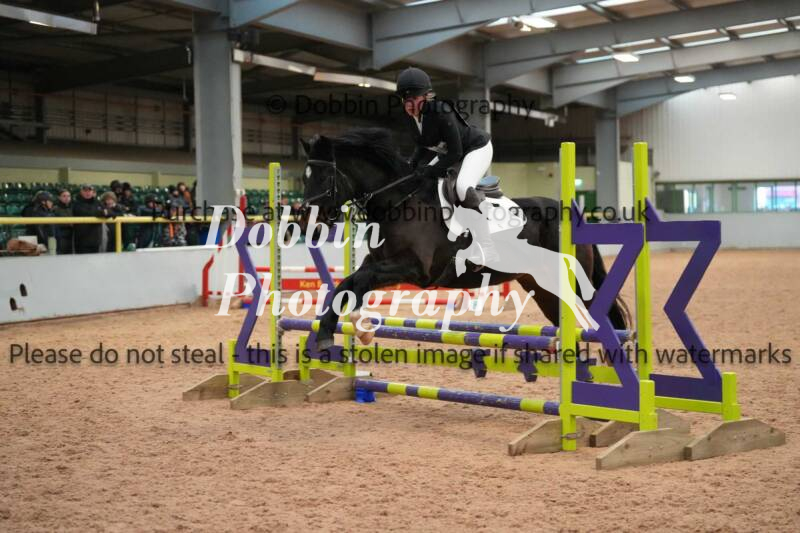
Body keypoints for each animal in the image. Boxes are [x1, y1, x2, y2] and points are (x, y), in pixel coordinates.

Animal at [298, 127, 629, 350]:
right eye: (303, 177)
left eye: (324, 178)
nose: (307, 223)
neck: (399, 202)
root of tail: (574, 215)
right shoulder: (378, 261)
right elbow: (349, 283)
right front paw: (341, 331)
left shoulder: (415, 269)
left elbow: (358, 281)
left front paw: (351, 328)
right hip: (542, 287)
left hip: (574, 281)